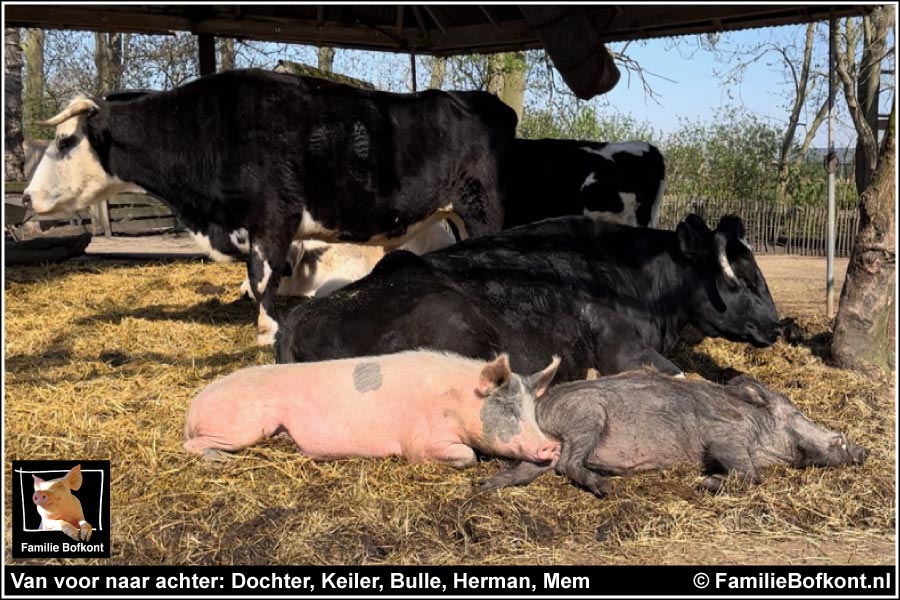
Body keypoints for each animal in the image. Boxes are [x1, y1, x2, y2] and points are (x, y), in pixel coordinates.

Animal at [24, 68, 516, 344]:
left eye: (64, 141)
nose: (27, 196)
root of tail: (474, 97)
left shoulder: (273, 217)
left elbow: (263, 277)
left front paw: (267, 330)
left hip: (482, 207)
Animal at [185, 352, 564, 468]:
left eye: (532, 411)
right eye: (509, 409)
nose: (552, 446)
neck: (456, 401)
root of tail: (193, 407)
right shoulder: (422, 440)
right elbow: (468, 455)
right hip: (244, 425)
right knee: (190, 445)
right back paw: (223, 460)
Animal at [474, 370, 868, 496]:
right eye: (797, 413)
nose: (863, 450)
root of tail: (536, 410)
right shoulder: (725, 438)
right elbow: (749, 475)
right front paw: (706, 482)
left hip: (544, 451)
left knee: (527, 471)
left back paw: (482, 487)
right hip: (587, 418)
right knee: (567, 464)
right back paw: (606, 488)